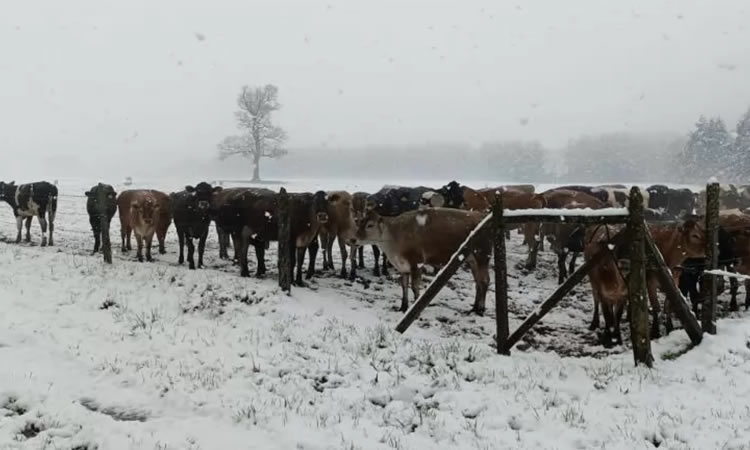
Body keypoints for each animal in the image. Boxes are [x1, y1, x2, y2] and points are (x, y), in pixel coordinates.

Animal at [354, 207, 494, 312]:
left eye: (370, 225)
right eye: (360, 222)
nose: (353, 239)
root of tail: (483, 216)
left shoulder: (416, 262)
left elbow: (415, 287)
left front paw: (414, 309)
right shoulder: (402, 266)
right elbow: (404, 286)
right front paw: (403, 307)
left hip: (482, 255)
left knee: (485, 280)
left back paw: (481, 309)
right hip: (472, 259)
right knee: (478, 282)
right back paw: (474, 307)